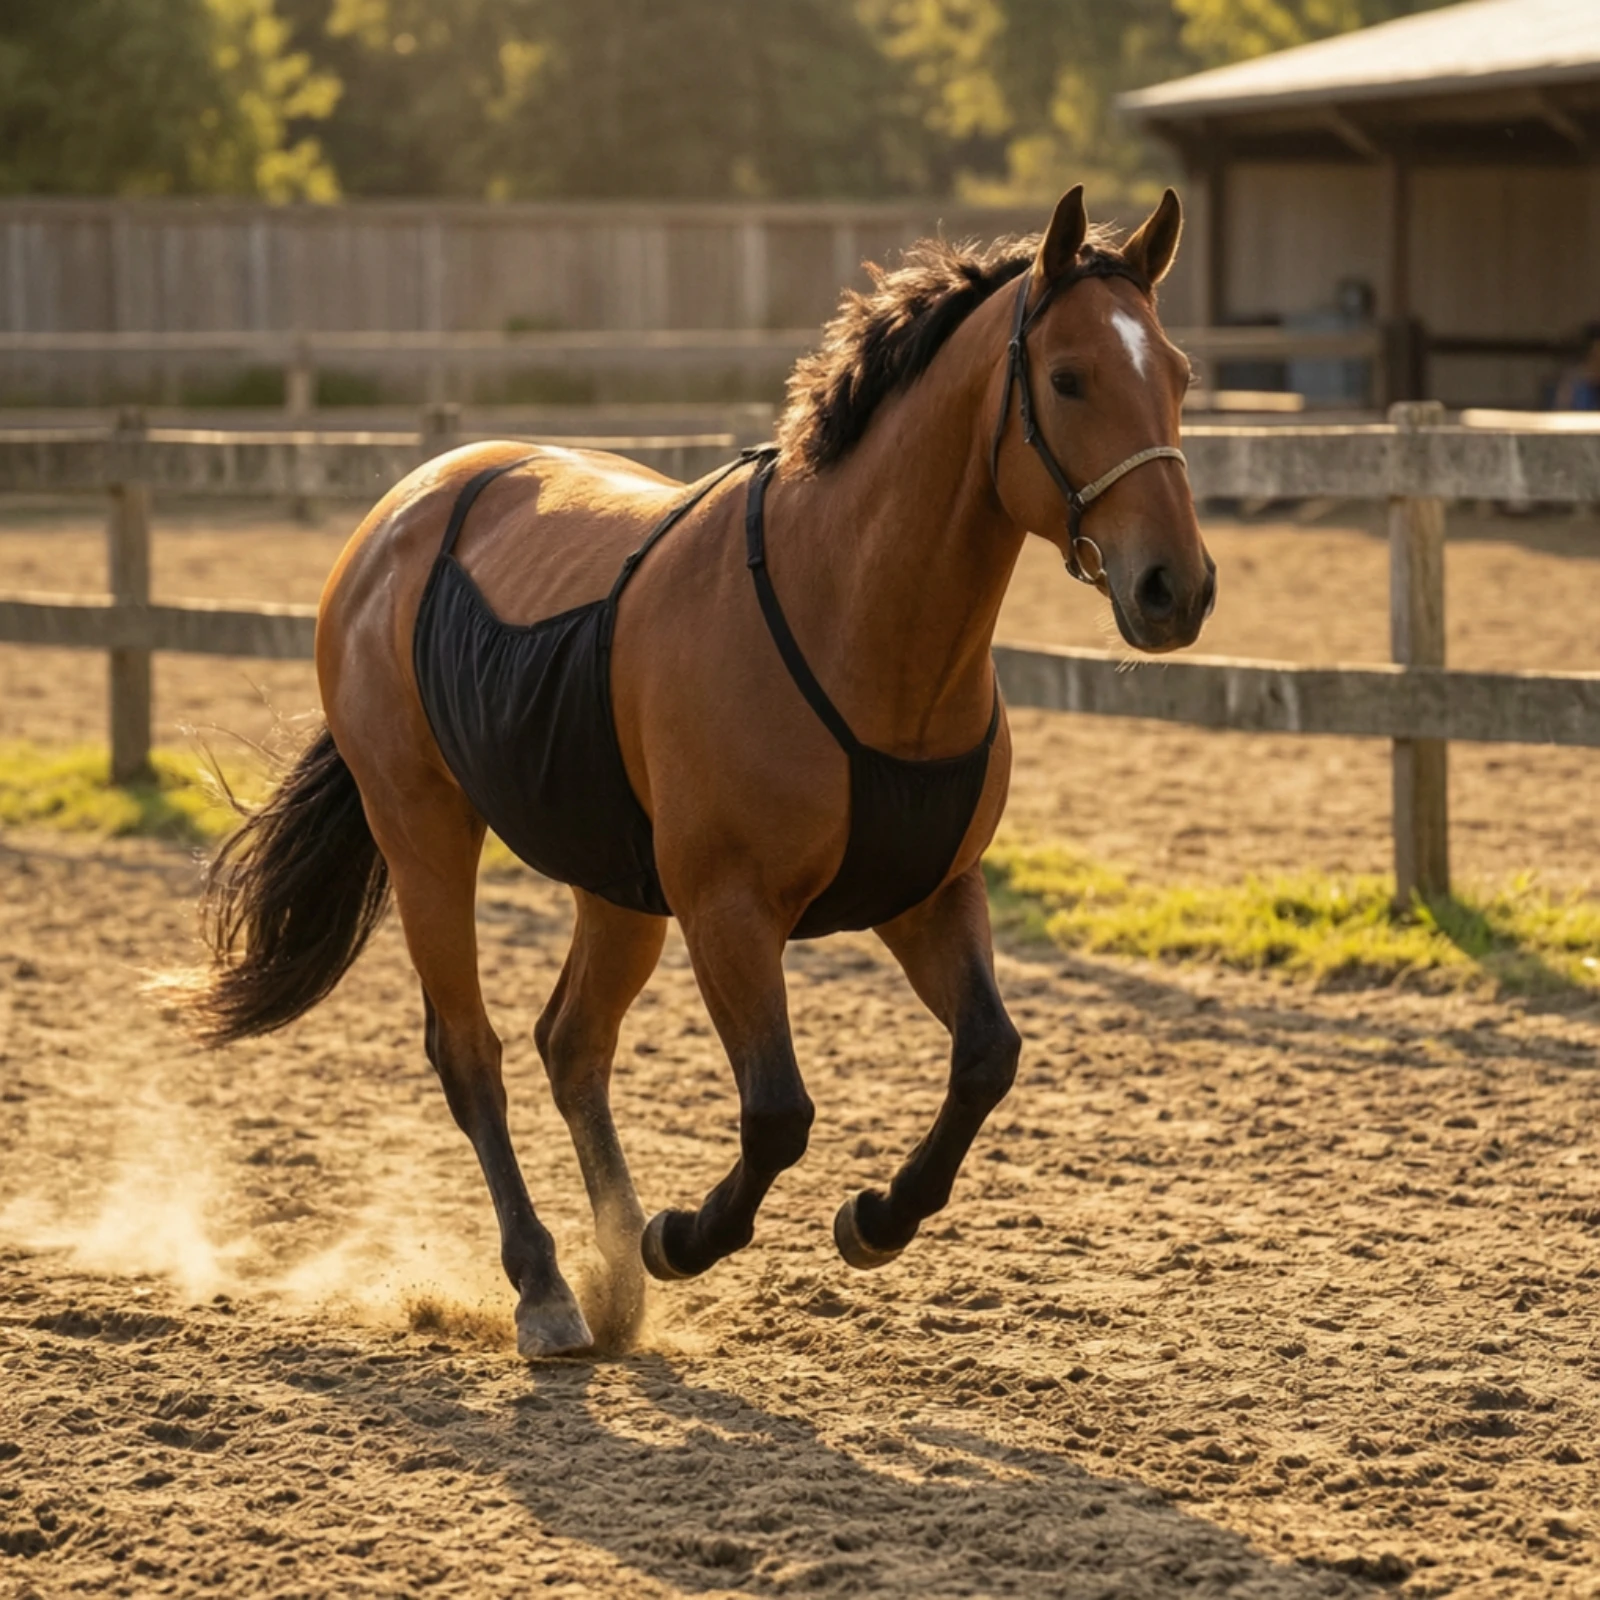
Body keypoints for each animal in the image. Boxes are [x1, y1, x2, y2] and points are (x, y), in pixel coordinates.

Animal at [187, 186, 1214, 1358]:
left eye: (1178, 373)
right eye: (1070, 377)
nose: (1175, 588)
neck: (847, 614)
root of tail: (404, 508)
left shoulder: (927, 893)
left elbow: (987, 1057)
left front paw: (874, 1218)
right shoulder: (729, 908)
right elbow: (778, 1112)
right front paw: (682, 1237)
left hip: (615, 889)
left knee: (570, 1043)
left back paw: (609, 1285)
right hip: (426, 837)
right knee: (472, 1053)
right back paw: (546, 1288)